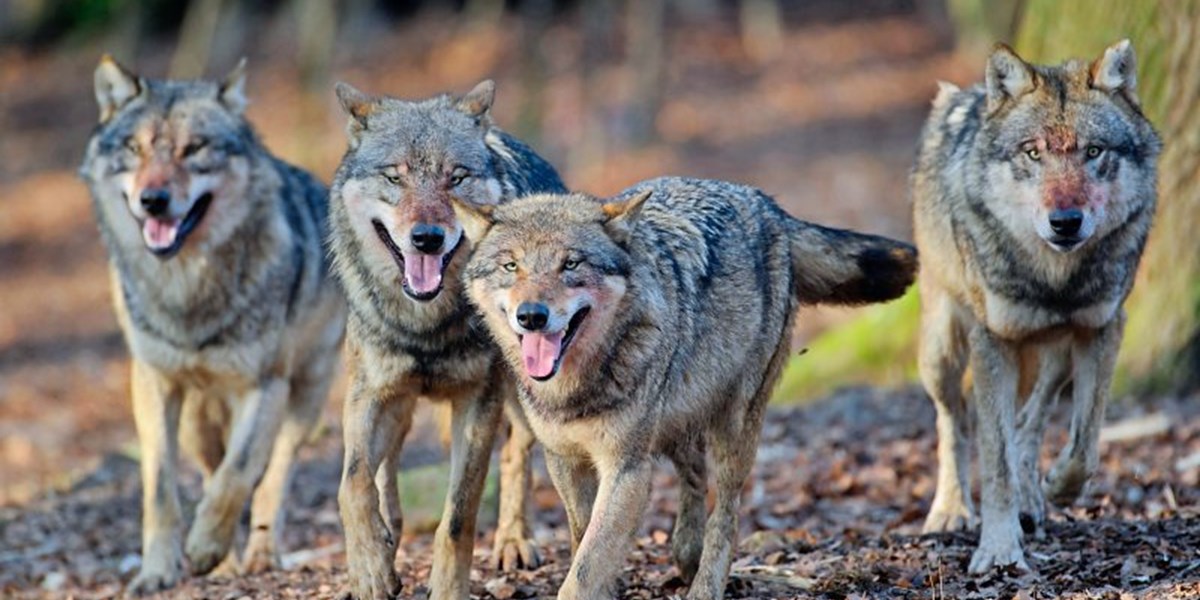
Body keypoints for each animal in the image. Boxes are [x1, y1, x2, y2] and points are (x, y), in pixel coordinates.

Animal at [78, 57, 348, 595]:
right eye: (134, 148)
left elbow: (238, 473)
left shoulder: (264, 387)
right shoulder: (153, 384)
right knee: (209, 468)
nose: (153, 200)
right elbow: (162, 490)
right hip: (197, 421)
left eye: (194, 148)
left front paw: (204, 546)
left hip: (304, 398)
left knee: (272, 476)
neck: (188, 290)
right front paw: (158, 571)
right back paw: (227, 564)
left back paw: (259, 555)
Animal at [326, 81, 568, 600]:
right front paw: (370, 568)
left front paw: (447, 587)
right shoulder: (369, 394)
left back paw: (514, 541)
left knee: (517, 453)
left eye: (455, 178)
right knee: (385, 477)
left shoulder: (478, 403)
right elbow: (353, 483)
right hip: (399, 408)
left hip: (522, 394)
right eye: (394, 178)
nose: (427, 238)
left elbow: (458, 515)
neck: (426, 325)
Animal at [453, 176, 912, 600]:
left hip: (734, 430)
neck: (576, 389)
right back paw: (686, 556)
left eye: (571, 264)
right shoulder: (564, 459)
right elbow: (584, 540)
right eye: (511, 266)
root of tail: (768, 205)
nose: (532, 316)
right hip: (681, 420)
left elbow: (583, 571)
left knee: (726, 514)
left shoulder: (626, 468)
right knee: (694, 477)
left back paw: (705, 585)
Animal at [912, 39, 1156, 573]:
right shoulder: (993, 342)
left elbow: (1084, 442)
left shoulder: (1103, 328)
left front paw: (1057, 489)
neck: (1055, 279)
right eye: (1033, 152)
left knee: (1030, 420)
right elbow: (995, 458)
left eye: (1093, 151)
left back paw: (1032, 500)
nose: (1065, 221)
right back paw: (951, 509)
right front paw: (998, 548)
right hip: (941, 349)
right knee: (953, 421)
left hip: (1055, 354)